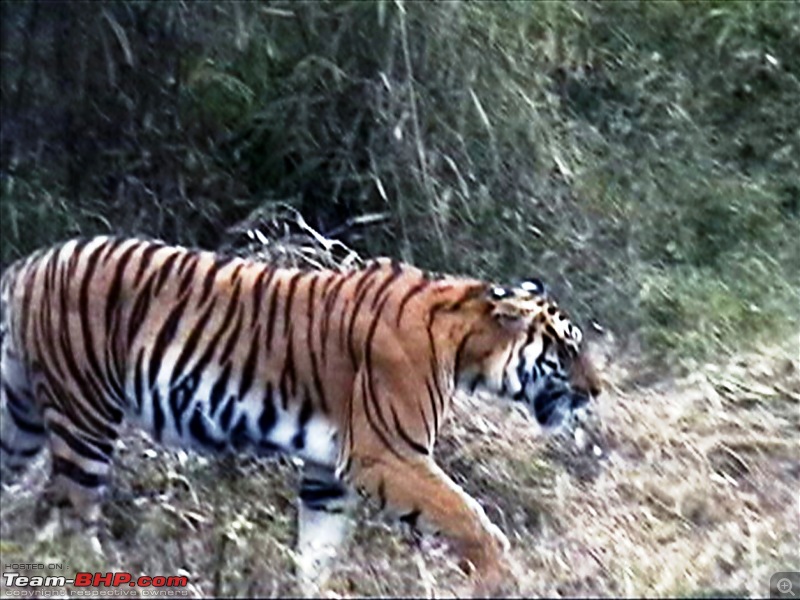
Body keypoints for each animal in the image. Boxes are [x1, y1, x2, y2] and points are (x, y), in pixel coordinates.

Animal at [0, 237, 600, 596]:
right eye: (567, 350)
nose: (596, 391)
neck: (465, 344)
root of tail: (26, 264)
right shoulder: (386, 453)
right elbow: (467, 515)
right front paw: (500, 576)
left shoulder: (327, 473)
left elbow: (318, 550)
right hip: (84, 418)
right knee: (73, 524)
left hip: (22, 420)